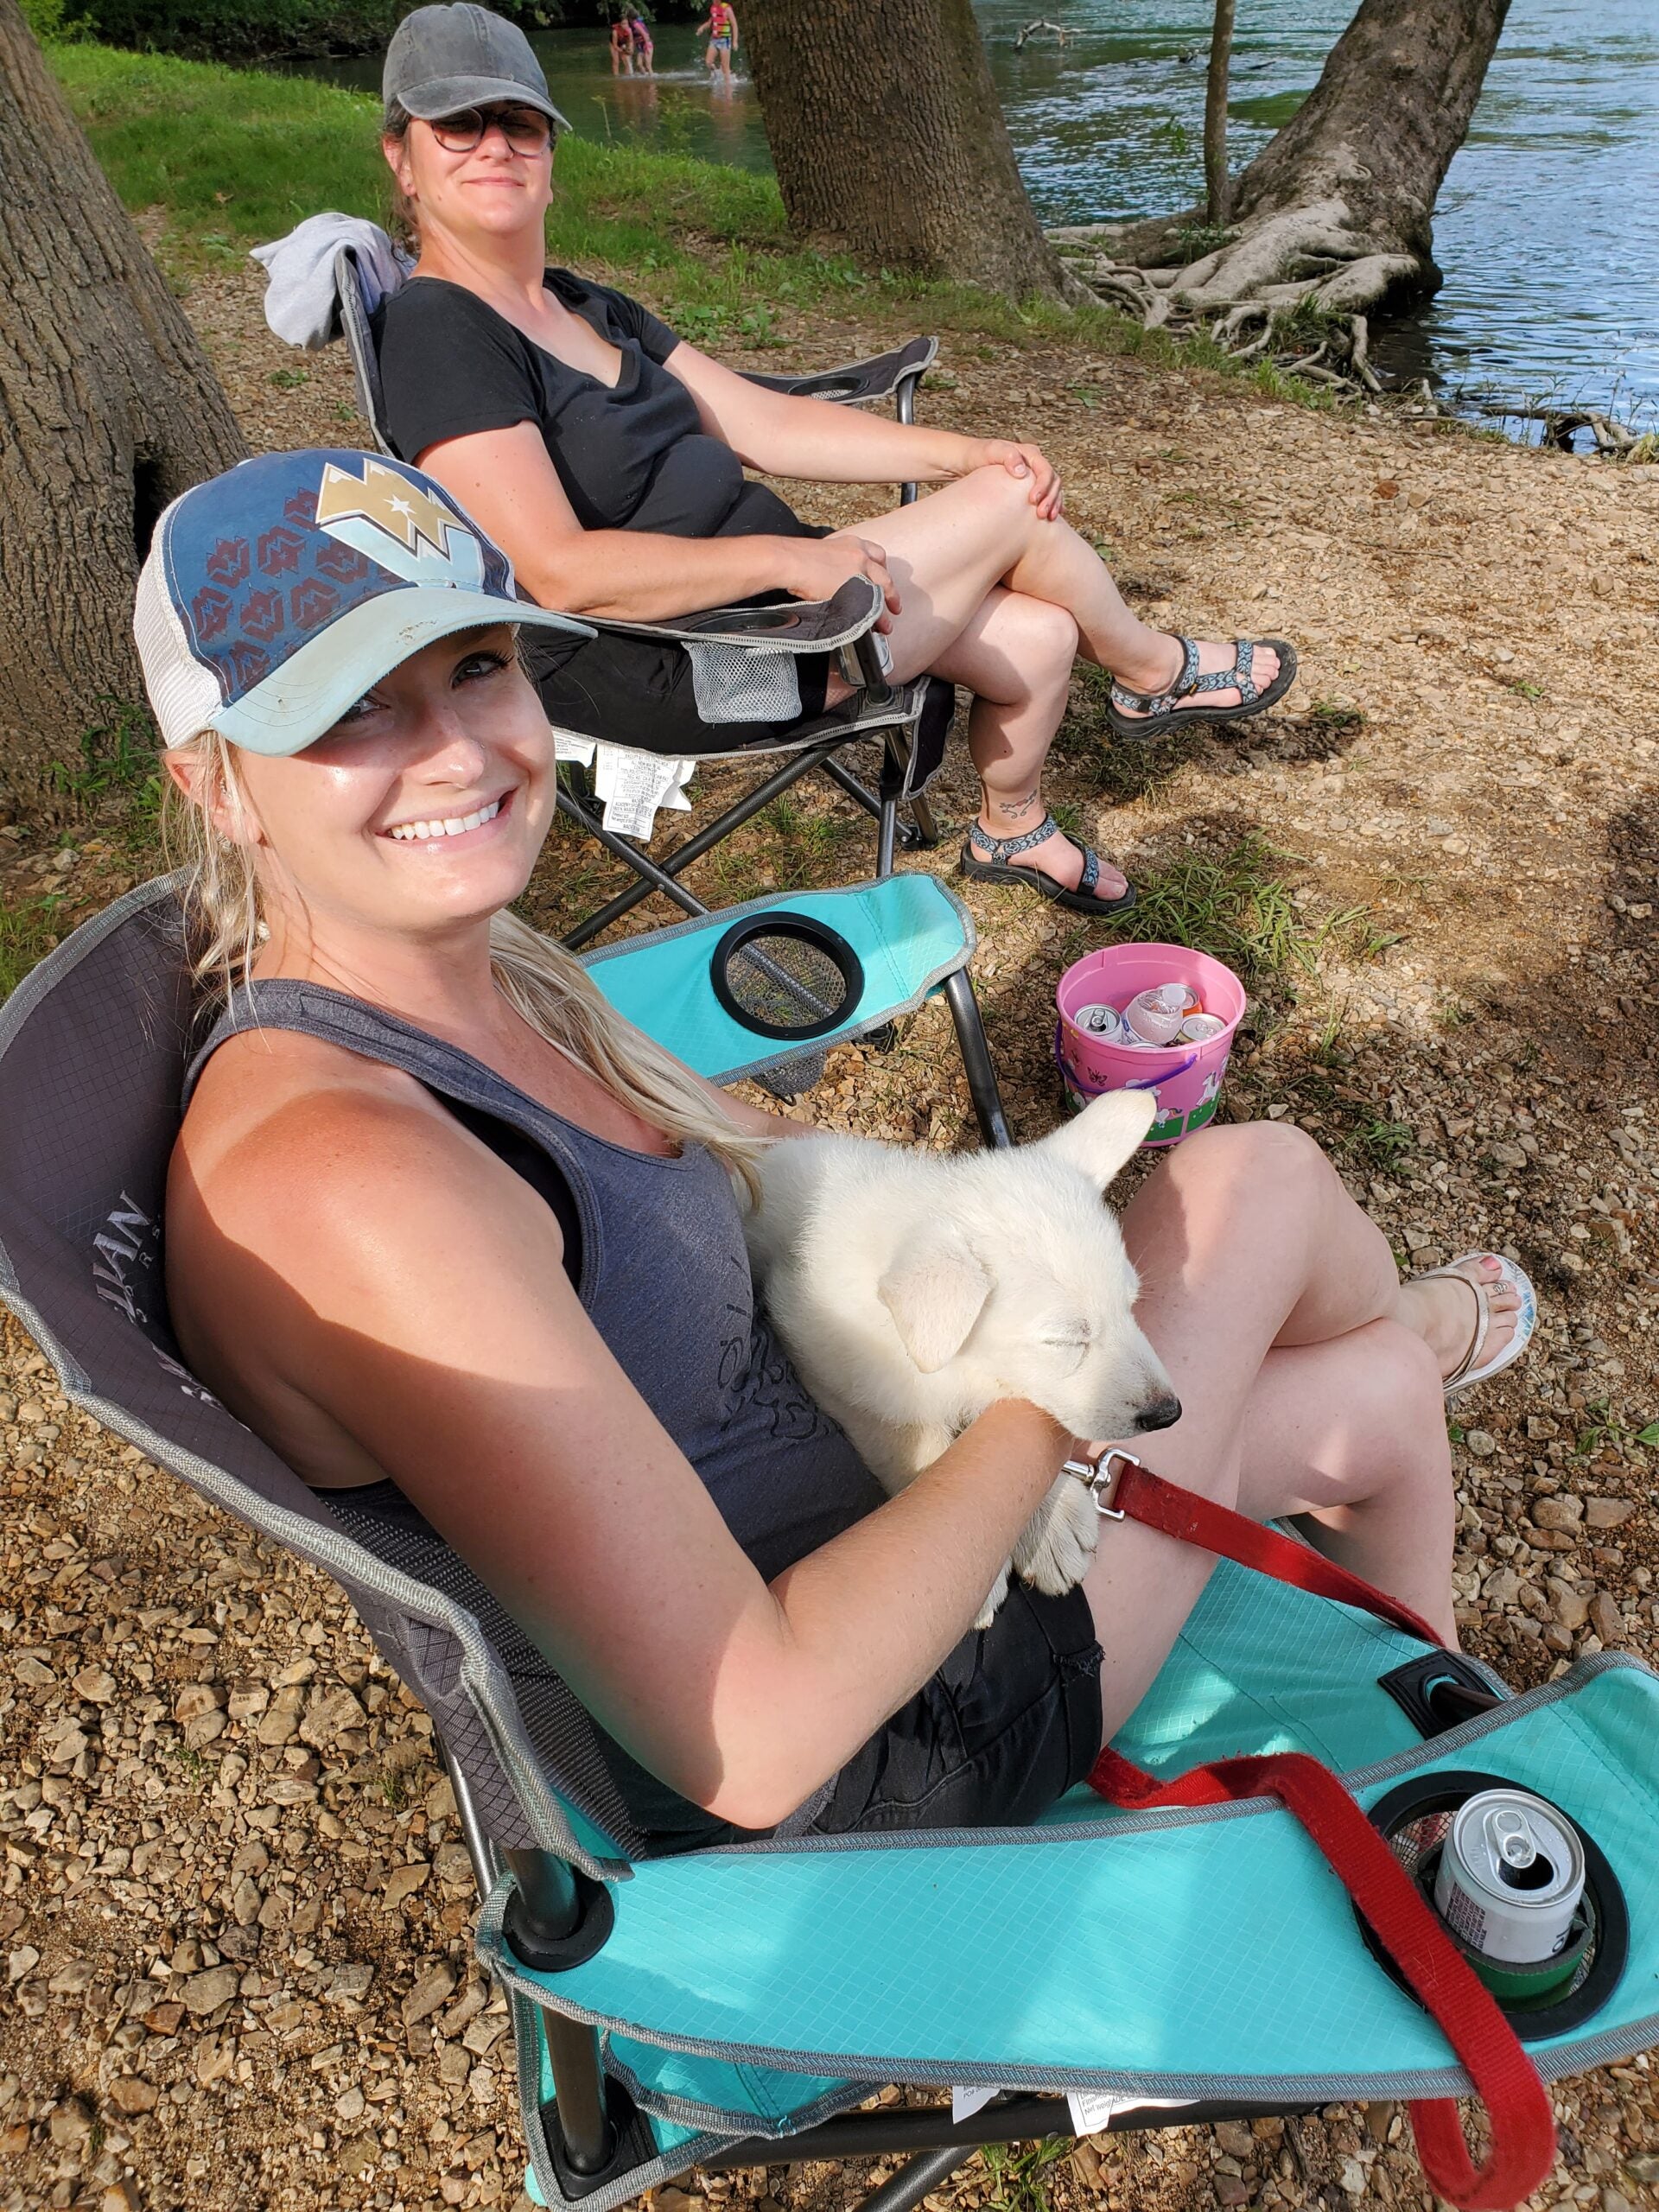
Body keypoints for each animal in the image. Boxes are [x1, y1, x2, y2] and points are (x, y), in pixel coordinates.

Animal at [747, 1088, 1185, 1628]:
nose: (1169, 1414)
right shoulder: (835, 1372)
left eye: (1131, 1304)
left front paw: (1051, 1519)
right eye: (1065, 1341)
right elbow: (916, 1443)